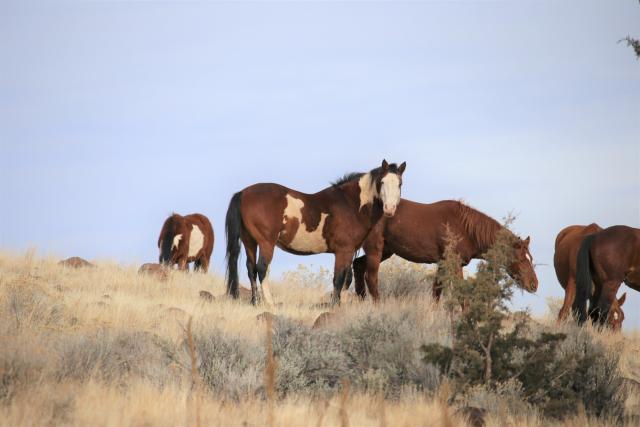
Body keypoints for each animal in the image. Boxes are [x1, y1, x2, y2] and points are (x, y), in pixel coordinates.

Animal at [225, 159, 404, 306]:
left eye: (400, 184)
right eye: (382, 182)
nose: (390, 209)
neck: (350, 204)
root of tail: (243, 193)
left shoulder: (349, 251)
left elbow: (347, 279)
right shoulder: (343, 251)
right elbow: (338, 279)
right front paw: (335, 306)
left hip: (249, 241)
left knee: (251, 269)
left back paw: (255, 302)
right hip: (266, 243)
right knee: (262, 269)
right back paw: (270, 303)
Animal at [352, 200, 536, 300]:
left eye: (531, 259)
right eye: (521, 259)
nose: (534, 285)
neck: (465, 229)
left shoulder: (443, 263)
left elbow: (436, 291)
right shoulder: (455, 264)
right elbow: (460, 294)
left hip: (386, 251)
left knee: (358, 266)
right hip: (375, 250)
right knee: (371, 278)